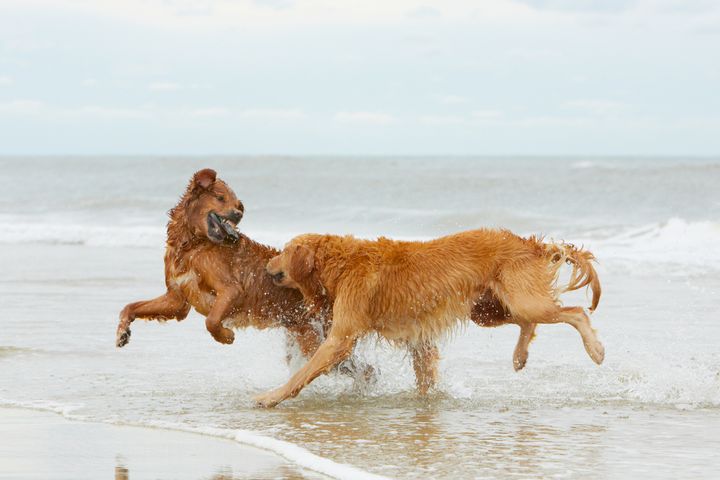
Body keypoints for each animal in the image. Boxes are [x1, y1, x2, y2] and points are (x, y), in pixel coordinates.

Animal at [116, 169, 330, 364]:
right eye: (220, 198)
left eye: (237, 205)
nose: (238, 214)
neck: (193, 245)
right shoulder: (177, 299)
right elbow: (130, 306)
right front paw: (122, 331)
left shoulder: (231, 289)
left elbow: (211, 320)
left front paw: (226, 336)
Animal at [258, 231, 600, 406]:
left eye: (283, 252)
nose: (265, 266)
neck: (342, 263)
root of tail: (529, 243)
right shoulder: (417, 337)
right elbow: (425, 372)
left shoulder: (341, 339)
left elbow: (302, 374)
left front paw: (271, 397)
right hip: (488, 309)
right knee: (528, 322)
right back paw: (519, 356)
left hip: (522, 300)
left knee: (576, 313)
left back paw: (595, 350)